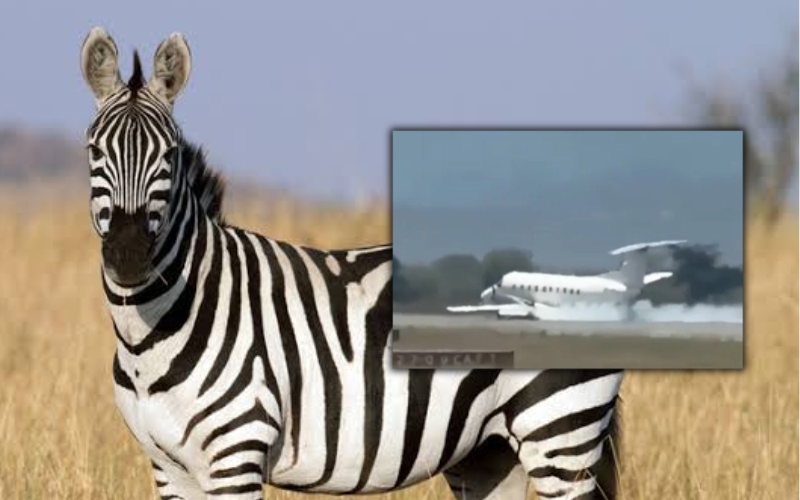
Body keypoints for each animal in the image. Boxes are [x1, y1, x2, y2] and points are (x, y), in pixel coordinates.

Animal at [80, 27, 624, 500]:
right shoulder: (167, 466)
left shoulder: (236, 454)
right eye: (93, 150)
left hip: (559, 432)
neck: (151, 337)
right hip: (489, 449)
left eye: (169, 154)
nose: (129, 255)